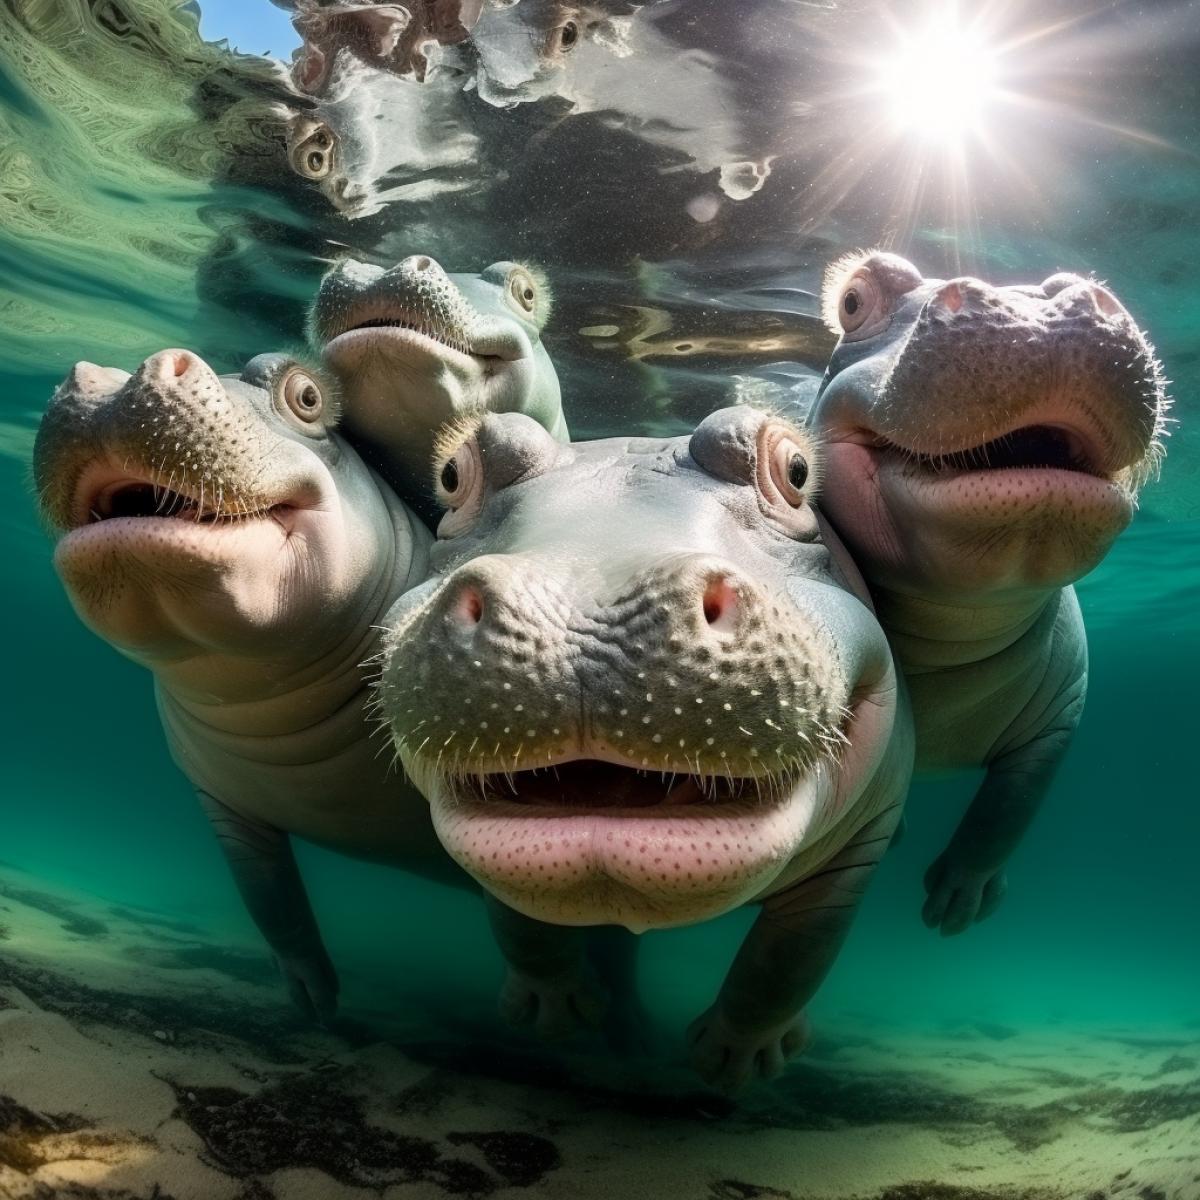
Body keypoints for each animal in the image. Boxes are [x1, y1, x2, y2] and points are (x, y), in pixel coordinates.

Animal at [33, 349, 459, 1021]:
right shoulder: (225, 805)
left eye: (308, 395)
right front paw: (313, 1002)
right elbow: (269, 897)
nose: (112, 380)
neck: (281, 706)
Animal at [374, 405, 914, 1091]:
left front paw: (733, 1060)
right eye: (451, 474)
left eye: (796, 472)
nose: (580, 610)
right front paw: (553, 1008)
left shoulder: (862, 845)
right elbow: (521, 919)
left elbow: (790, 956)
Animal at [808, 252, 1169, 935]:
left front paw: (956, 905)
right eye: (852, 300)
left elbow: (1008, 808)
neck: (950, 629)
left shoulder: (1060, 718)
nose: (1037, 305)